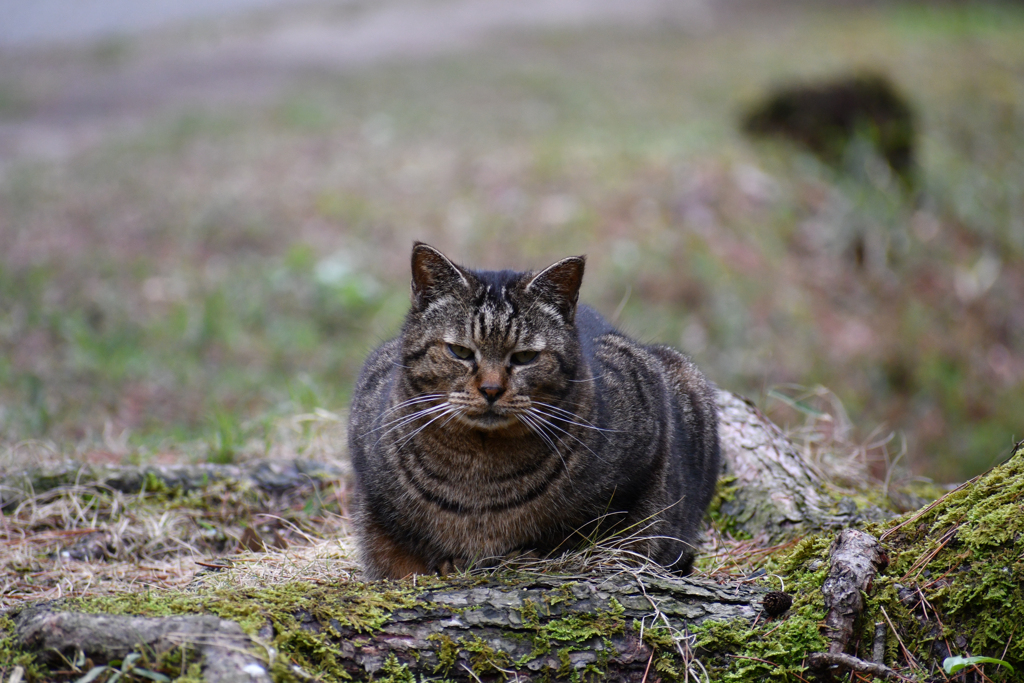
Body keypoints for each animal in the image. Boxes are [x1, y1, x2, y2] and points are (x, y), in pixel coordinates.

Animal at [352, 242, 720, 581]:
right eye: (460, 352)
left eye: (525, 357)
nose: (491, 390)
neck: (479, 472)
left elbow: (587, 529)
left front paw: (523, 555)